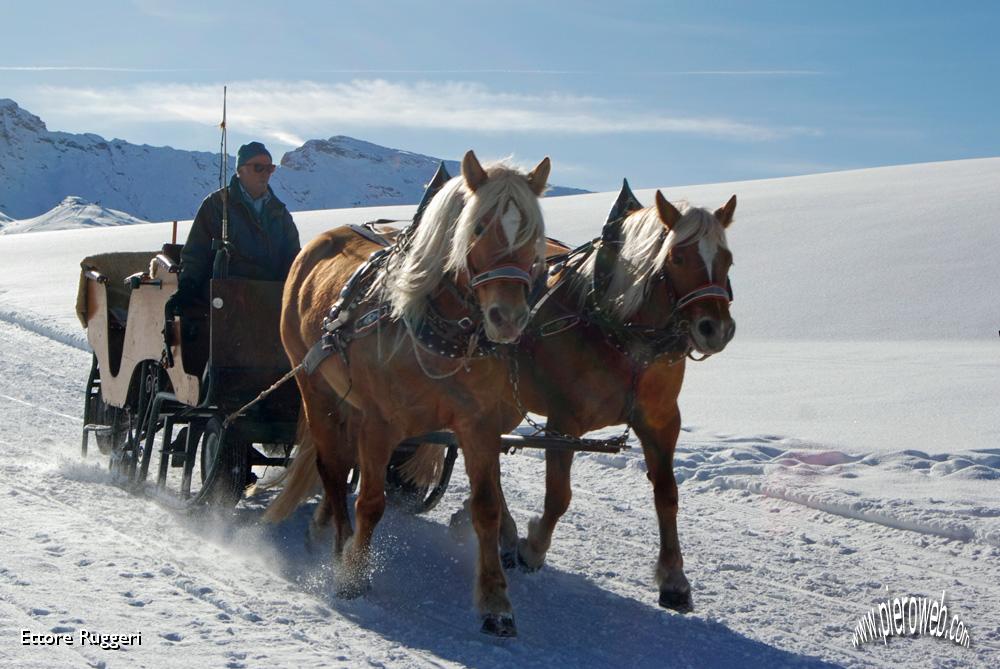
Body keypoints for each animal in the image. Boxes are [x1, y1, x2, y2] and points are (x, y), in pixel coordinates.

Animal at [270, 151, 552, 636]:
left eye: (532, 234)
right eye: (478, 227)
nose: (508, 318)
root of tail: (318, 243)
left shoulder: (478, 424)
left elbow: (487, 508)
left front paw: (496, 603)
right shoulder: (381, 424)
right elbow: (370, 502)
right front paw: (352, 575)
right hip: (314, 386)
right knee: (332, 468)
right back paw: (337, 543)